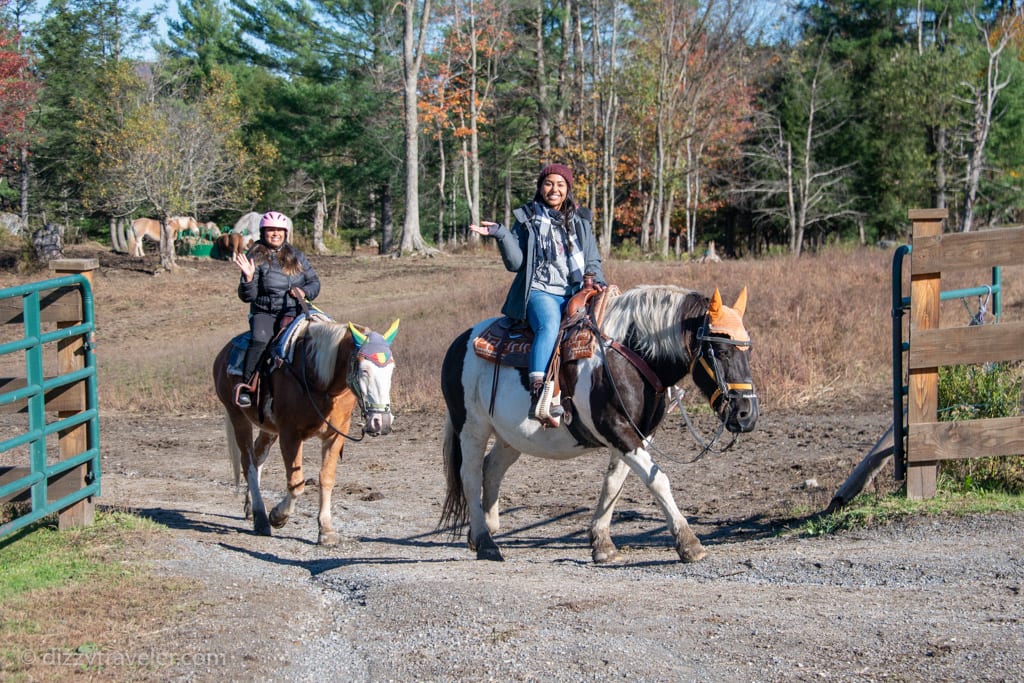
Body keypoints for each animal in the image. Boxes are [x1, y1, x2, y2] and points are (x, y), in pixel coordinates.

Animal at [212, 317, 399, 548]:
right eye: (363, 370)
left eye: (391, 369)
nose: (381, 422)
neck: (318, 378)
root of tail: (223, 354)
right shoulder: (290, 434)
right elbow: (296, 484)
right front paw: (278, 516)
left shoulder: (335, 435)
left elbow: (326, 479)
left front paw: (326, 531)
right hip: (237, 415)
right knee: (248, 463)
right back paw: (261, 517)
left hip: (268, 428)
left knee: (258, 456)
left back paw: (250, 508)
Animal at [440, 286, 761, 565]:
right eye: (721, 351)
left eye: (748, 350)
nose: (746, 414)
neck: (630, 356)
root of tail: (459, 342)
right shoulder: (617, 429)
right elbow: (657, 479)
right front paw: (689, 543)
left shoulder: (636, 435)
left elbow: (613, 484)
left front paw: (602, 545)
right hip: (471, 427)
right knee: (470, 475)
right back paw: (485, 542)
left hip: (510, 437)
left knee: (492, 469)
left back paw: (485, 530)